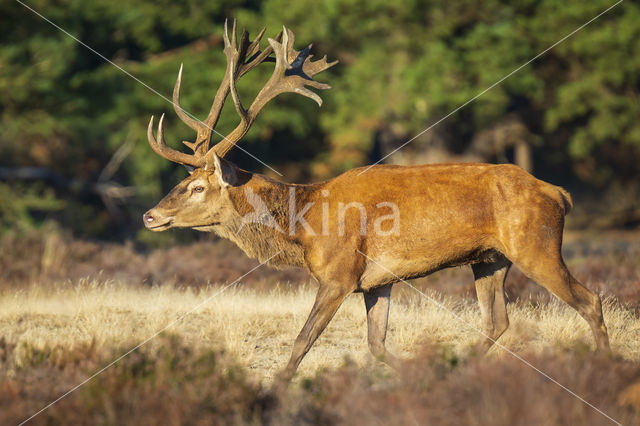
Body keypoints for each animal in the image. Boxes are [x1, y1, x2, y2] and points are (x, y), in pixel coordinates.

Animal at [144, 20, 608, 382]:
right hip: (490, 258)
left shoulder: (340, 274)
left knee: (590, 300)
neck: (304, 225)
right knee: (498, 320)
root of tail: (560, 194)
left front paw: (277, 387)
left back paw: (605, 366)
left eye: (198, 187)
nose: (150, 215)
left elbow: (301, 342)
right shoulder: (378, 281)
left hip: (536, 246)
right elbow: (376, 344)